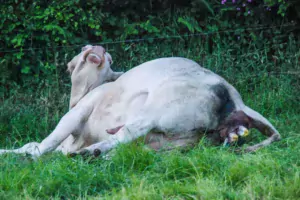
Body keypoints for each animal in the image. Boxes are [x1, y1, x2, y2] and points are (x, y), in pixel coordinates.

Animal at [0, 45, 282, 158]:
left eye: (73, 61)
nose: (96, 47)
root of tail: (236, 100)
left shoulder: (79, 111)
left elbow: (41, 144)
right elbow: (32, 144)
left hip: (155, 111)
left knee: (125, 135)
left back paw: (91, 152)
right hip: (181, 143)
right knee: (133, 147)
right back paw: (98, 154)